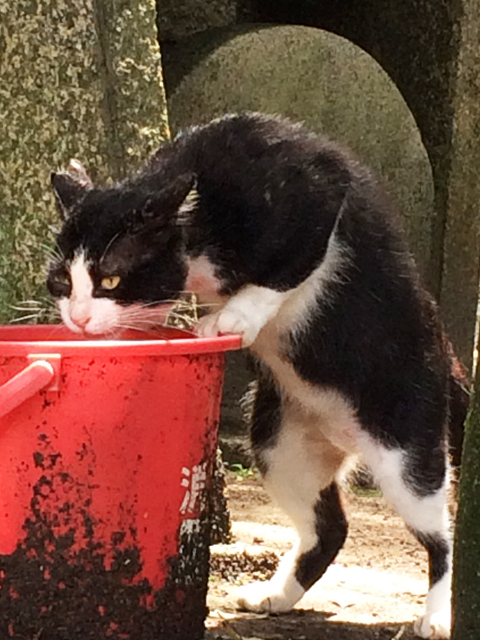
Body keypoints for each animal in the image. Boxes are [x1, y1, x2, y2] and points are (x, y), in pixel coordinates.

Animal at [47, 112, 458, 636]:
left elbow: (288, 267)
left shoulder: (317, 189)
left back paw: (437, 614)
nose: (78, 319)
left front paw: (231, 318)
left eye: (111, 279)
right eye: (62, 281)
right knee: (329, 528)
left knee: (438, 531)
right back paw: (276, 595)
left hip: (406, 438)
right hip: (280, 445)